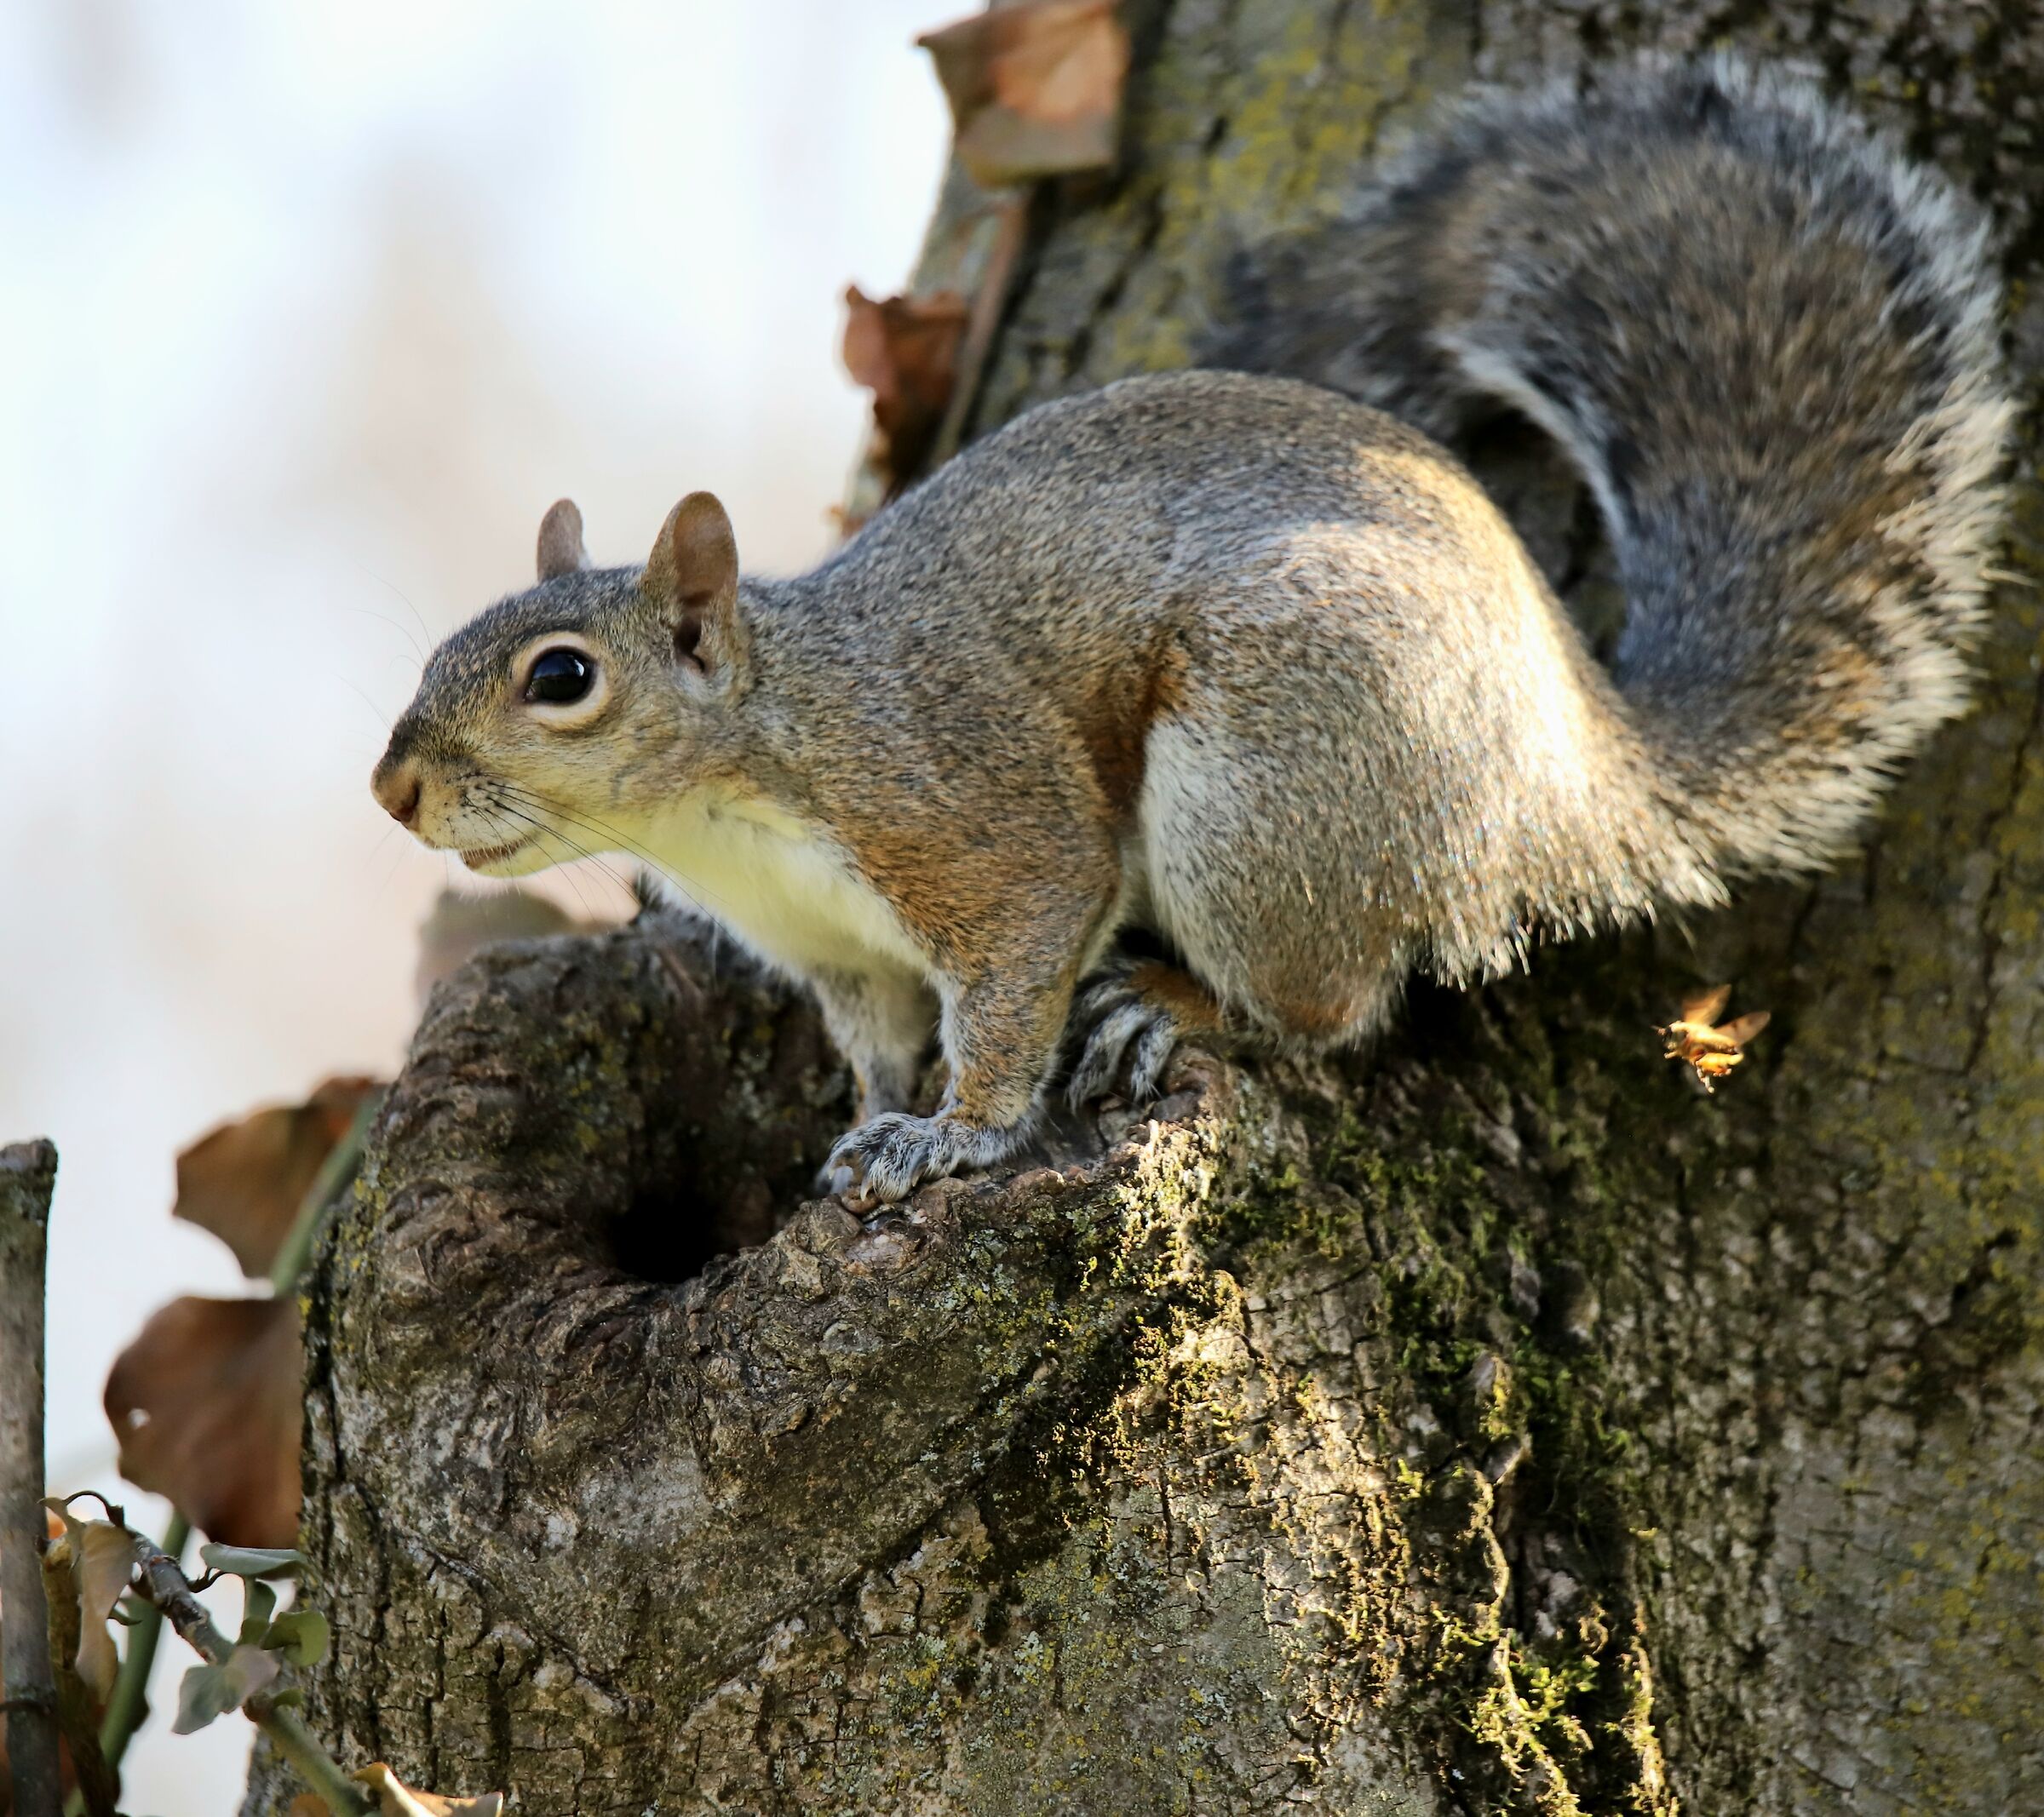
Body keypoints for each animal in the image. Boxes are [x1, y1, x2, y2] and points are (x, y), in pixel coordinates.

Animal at [371, 57, 2010, 1207]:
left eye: (562, 678)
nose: (393, 787)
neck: (748, 783)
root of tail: (1575, 772)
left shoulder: (970, 818)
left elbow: (1015, 981)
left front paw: (949, 1139)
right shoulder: (839, 956)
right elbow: (882, 1042)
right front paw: (868, 1121)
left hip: (1274, 788)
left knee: (1329, 1010)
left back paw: (1174, 999)